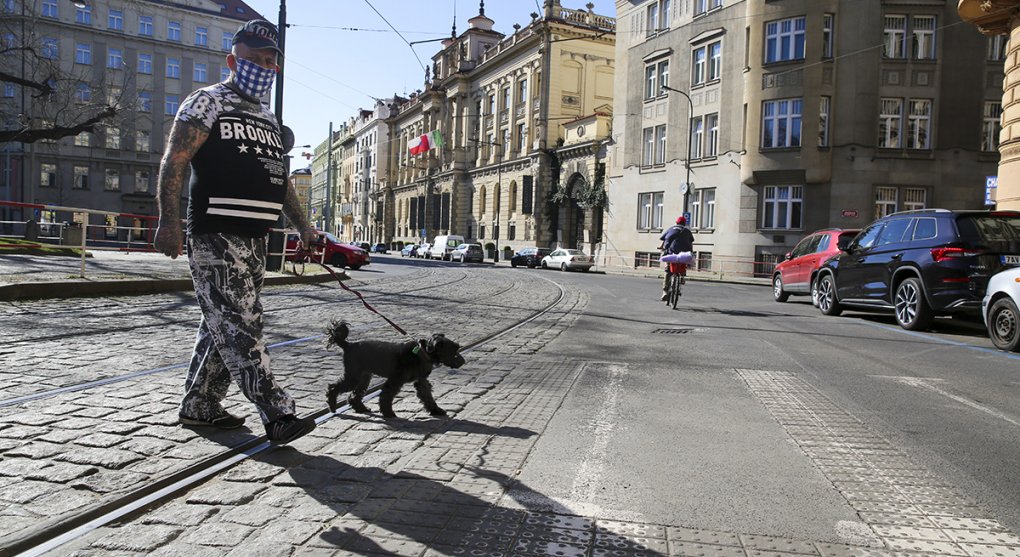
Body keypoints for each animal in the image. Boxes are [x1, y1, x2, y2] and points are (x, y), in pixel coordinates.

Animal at [326, 316, 467, 416]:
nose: (463, 361)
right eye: (454, 350)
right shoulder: (395, 380)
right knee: (333, 388)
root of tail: (347, 345)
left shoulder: (421, 380)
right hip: (353, 376)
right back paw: (332, 406)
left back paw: (361, 409)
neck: (423, 353)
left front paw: (436, 410)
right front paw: (388, 413)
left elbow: (428, 396)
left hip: (364, 377)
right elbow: (386, 397)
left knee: (355, 394)